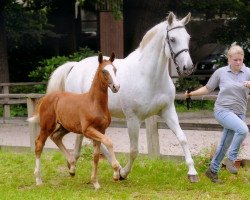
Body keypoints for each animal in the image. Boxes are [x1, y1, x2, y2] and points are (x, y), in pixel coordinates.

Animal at [27, 52, 120, 189]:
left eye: (115, 69)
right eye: (104, 71)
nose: (116, 87)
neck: (94, 103)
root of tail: (46, 97)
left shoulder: (101, 130)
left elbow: (96, 156)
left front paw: (95, 182)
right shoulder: (88, 130)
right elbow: (109, 142)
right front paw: (116, 172)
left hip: (65, 126)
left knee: (56, 137)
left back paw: (72, 168)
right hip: (47, 125)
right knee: (39, 143)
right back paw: (38, 179)